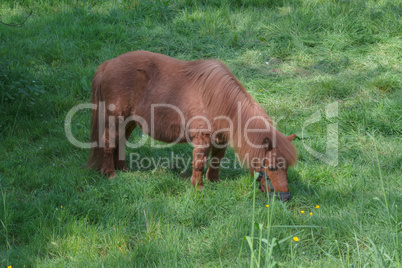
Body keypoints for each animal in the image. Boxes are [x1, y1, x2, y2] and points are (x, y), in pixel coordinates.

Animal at [86, 50, 296, 201]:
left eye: (286, 167)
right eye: (272, 167)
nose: (285, 197)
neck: (218, 100)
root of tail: (106, 66)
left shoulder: (220, 139)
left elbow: (216, 160)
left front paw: (214, 182)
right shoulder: (202, 139)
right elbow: (200, 163)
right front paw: (199, 187)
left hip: (128, 121)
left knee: (120, 143)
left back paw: (123, 169)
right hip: (115, 119)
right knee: (109, 144)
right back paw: (111, 174)